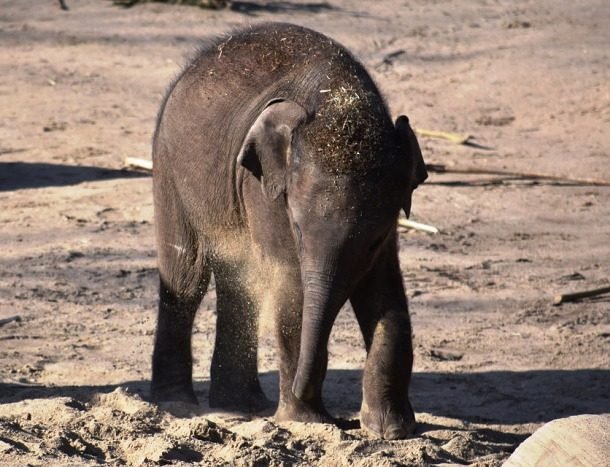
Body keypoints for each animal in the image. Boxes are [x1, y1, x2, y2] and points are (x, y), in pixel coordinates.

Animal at [151, 21, 426, 438]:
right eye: (296, 227)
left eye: (375, 239)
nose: (342, 421)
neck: (339, 98)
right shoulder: (263, 185)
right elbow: (292, 285)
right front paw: (306, 422)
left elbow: (385, 294)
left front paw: (391, 430)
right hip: (169, 169)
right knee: (186, 277)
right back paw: (177, 403)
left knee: (238, 282)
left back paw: (241, 405)